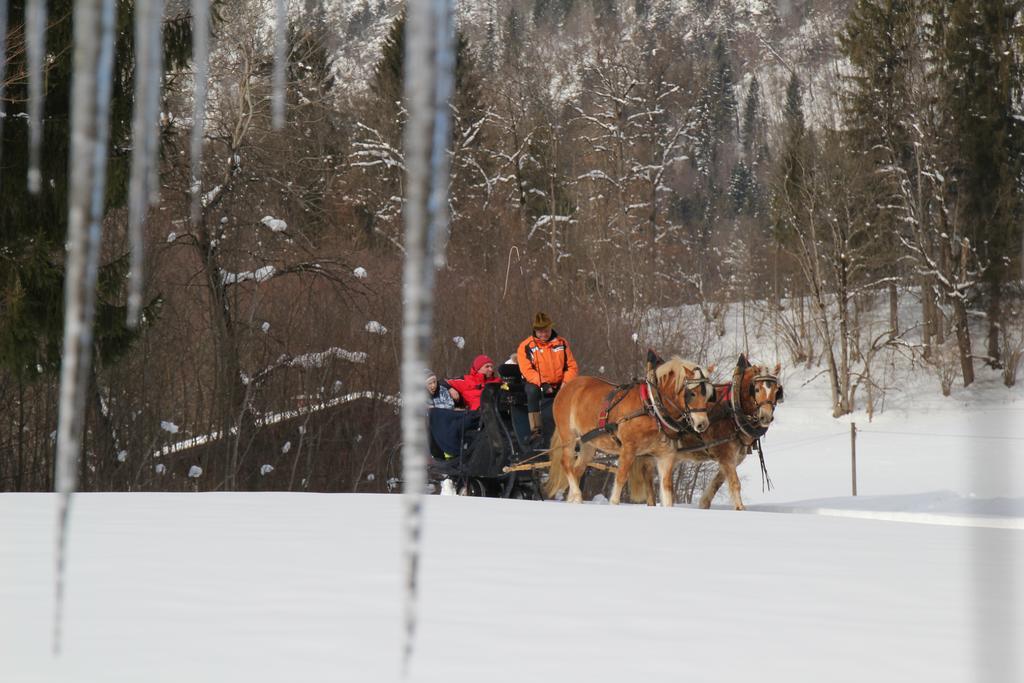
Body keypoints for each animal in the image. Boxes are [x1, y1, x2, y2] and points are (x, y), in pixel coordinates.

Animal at [548, 358, 716, 507]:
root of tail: (568, 386)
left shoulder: (666, 456)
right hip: (568, 436)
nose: (702, 424)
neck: (652, 406)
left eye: (708, 395)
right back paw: (577, 495)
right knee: (566, 463)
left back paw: (573, 500)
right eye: (692, 393)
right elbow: (621, 477)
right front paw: (614, 503)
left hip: (588, 443)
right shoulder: (628, 448)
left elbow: (667, 489)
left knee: (577, 469)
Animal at [626, 356, 786, 509]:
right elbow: (735, 483)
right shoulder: (726, 455)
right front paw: (740, 508)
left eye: (776, 391)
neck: (732, 409)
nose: (765, 417)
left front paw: (704, 503)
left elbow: (717, 482)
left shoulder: (733, 458)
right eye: (756, 389)